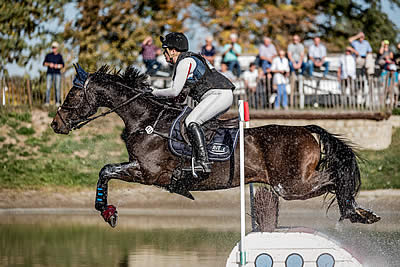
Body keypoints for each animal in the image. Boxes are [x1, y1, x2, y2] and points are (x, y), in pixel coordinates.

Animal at [51, 65, 380, 228]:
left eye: (72, 95)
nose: (56, 124)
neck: (145, 119)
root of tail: (306, 129)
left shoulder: (149, 173)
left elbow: (106, 170)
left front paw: (107, 212)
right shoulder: (143, 170)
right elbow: (105, 170)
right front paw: (108, 212)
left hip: (290, 185)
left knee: (335, 179)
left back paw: (354, 212)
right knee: (336, 180)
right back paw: (361, 212)